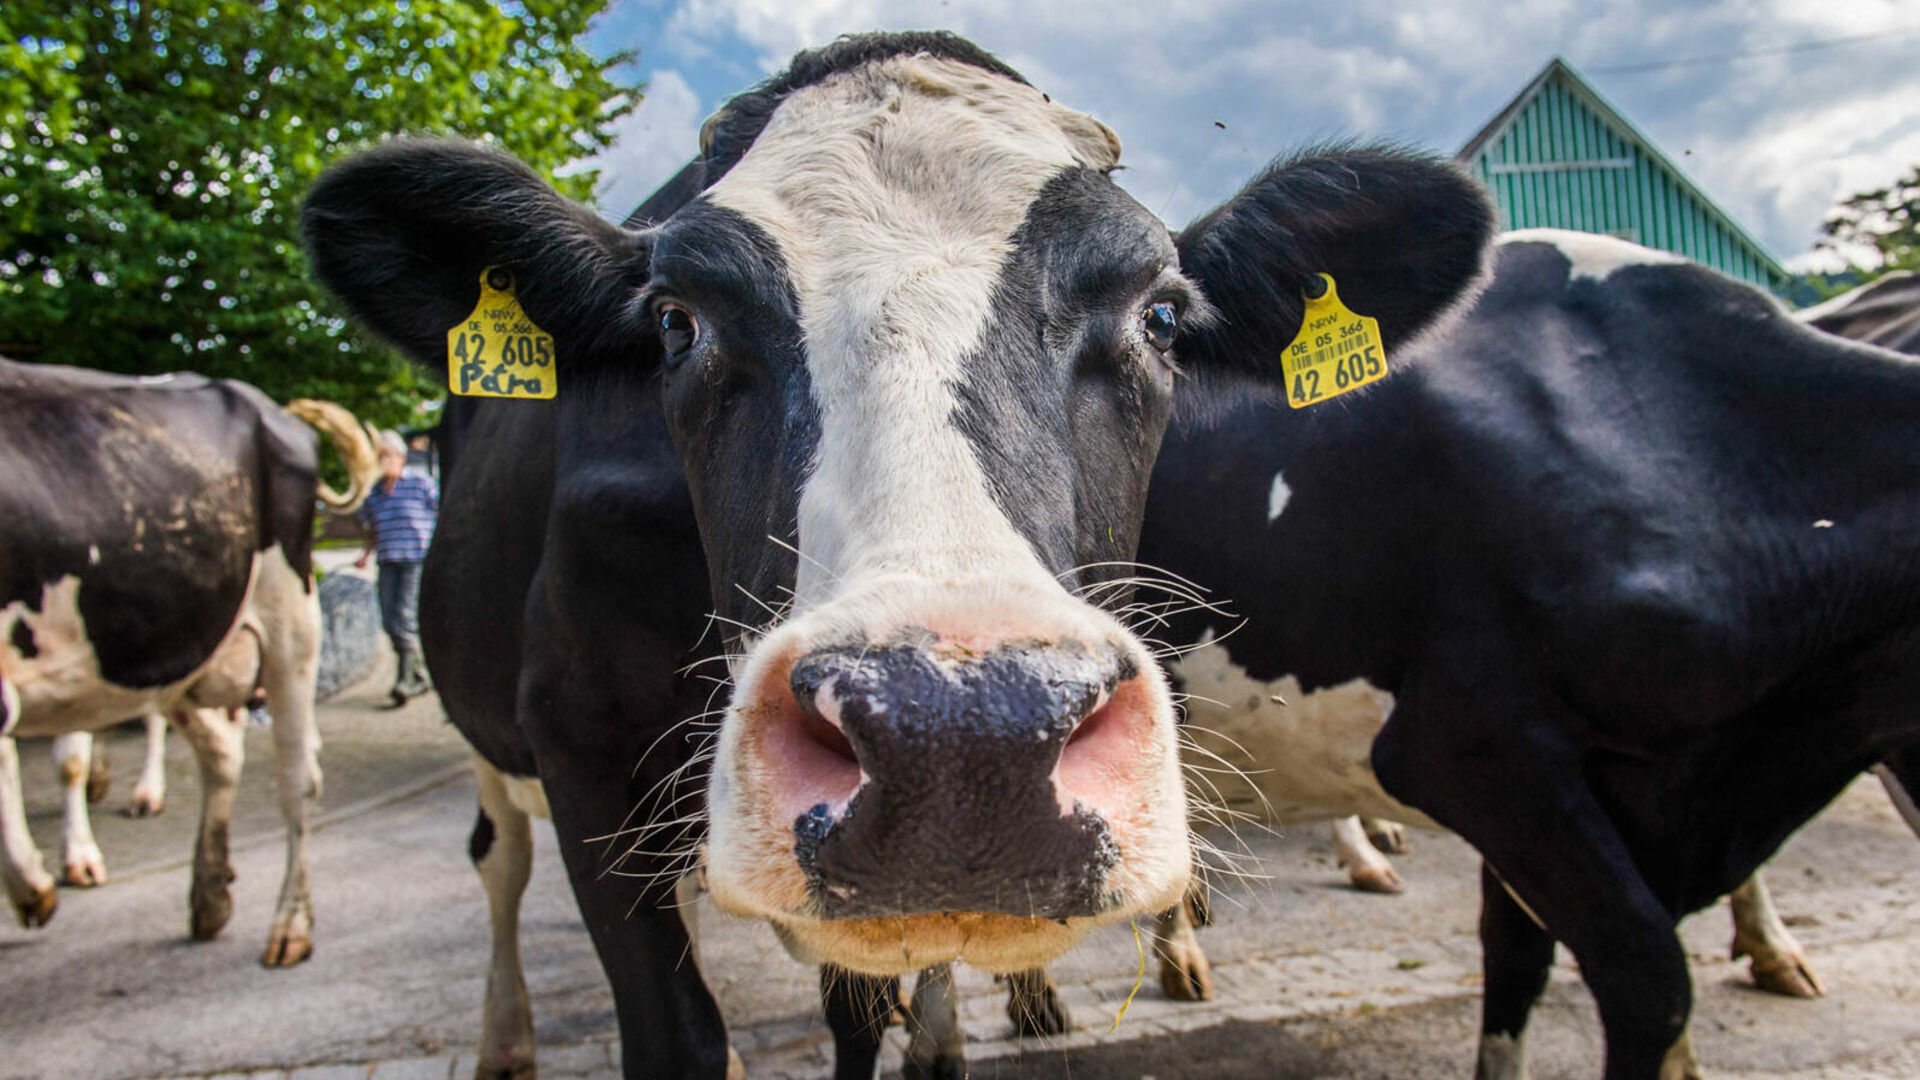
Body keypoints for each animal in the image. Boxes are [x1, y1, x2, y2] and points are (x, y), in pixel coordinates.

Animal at [0, 365, 374, 960]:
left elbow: (57, 761)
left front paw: (45, 879)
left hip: (289, 619)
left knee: (299, 777)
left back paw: (289, 926)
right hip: (179, 651)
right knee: (221, 752)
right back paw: (210, 895)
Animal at [303, 31, 1497, 1076]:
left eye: (1159, 317)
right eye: (678, 322)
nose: (963, 739)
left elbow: (878, 1026)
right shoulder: (577, 739)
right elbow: (678, 1036)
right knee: (497, 860)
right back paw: (502, 1034)